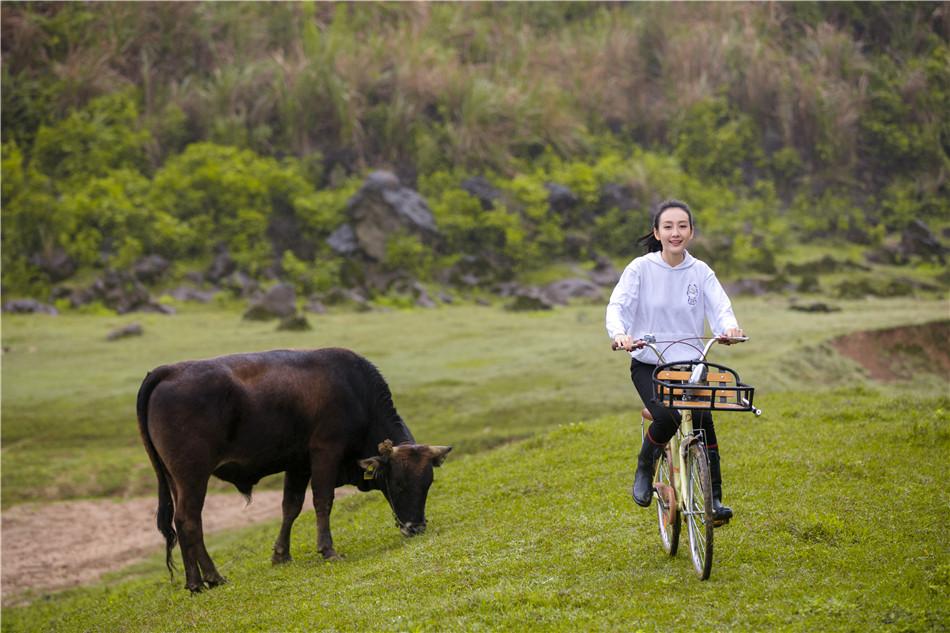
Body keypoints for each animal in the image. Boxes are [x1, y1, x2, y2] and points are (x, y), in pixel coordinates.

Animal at [138, 348, 454, 592]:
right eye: (398, 484)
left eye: (427, 484)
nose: (416, 527)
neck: (356, 391)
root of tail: (167, 371)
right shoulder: (325, 452)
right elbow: (322, 501)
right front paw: (328, 550)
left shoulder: (298, 464)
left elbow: (290, 507)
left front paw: (281, 555)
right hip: (192, 477)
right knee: (189, 521)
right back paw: (203, 580)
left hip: (177, 480)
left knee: (189, 524)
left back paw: (203, 579)